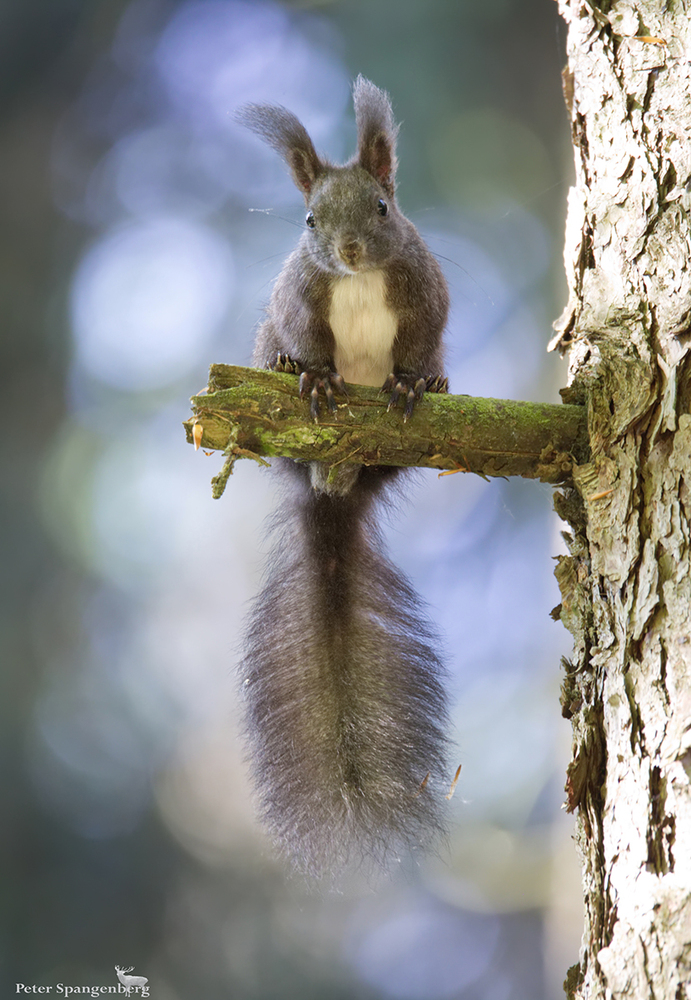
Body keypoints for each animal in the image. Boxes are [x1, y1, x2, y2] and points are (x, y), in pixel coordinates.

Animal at [238, 78, 454, 876]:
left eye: (383, 206)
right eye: (309, 219)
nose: (350, 249)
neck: (358, 281)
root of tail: (334, 488)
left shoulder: (425, 292)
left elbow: (422, 338)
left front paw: (414, 383)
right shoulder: (298, 299)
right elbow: (305, 336)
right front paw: (316, 376)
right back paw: (286, 375)